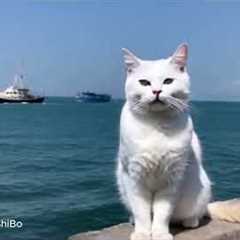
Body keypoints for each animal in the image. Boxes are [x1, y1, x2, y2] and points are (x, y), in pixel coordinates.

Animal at [116, 44, 212, 240]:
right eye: (144, 83)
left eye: (168, 81)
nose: (156, 91)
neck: (156, 124)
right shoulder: (133, 176)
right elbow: (142, 211)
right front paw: (142, 233)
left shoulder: (172, 178)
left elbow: (162, 212)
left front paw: (160, 233)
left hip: (202, 191)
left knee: (195, 214)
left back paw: (190, 221)